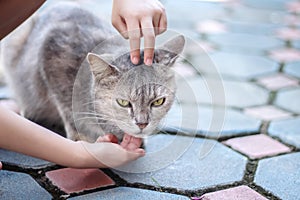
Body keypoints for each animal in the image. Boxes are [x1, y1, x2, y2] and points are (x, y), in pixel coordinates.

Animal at [1, 1, 185, 142]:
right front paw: (81, 137)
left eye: (158, 102)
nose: (142, 124)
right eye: (123, 102)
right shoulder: (51, 53)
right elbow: (67, 106)